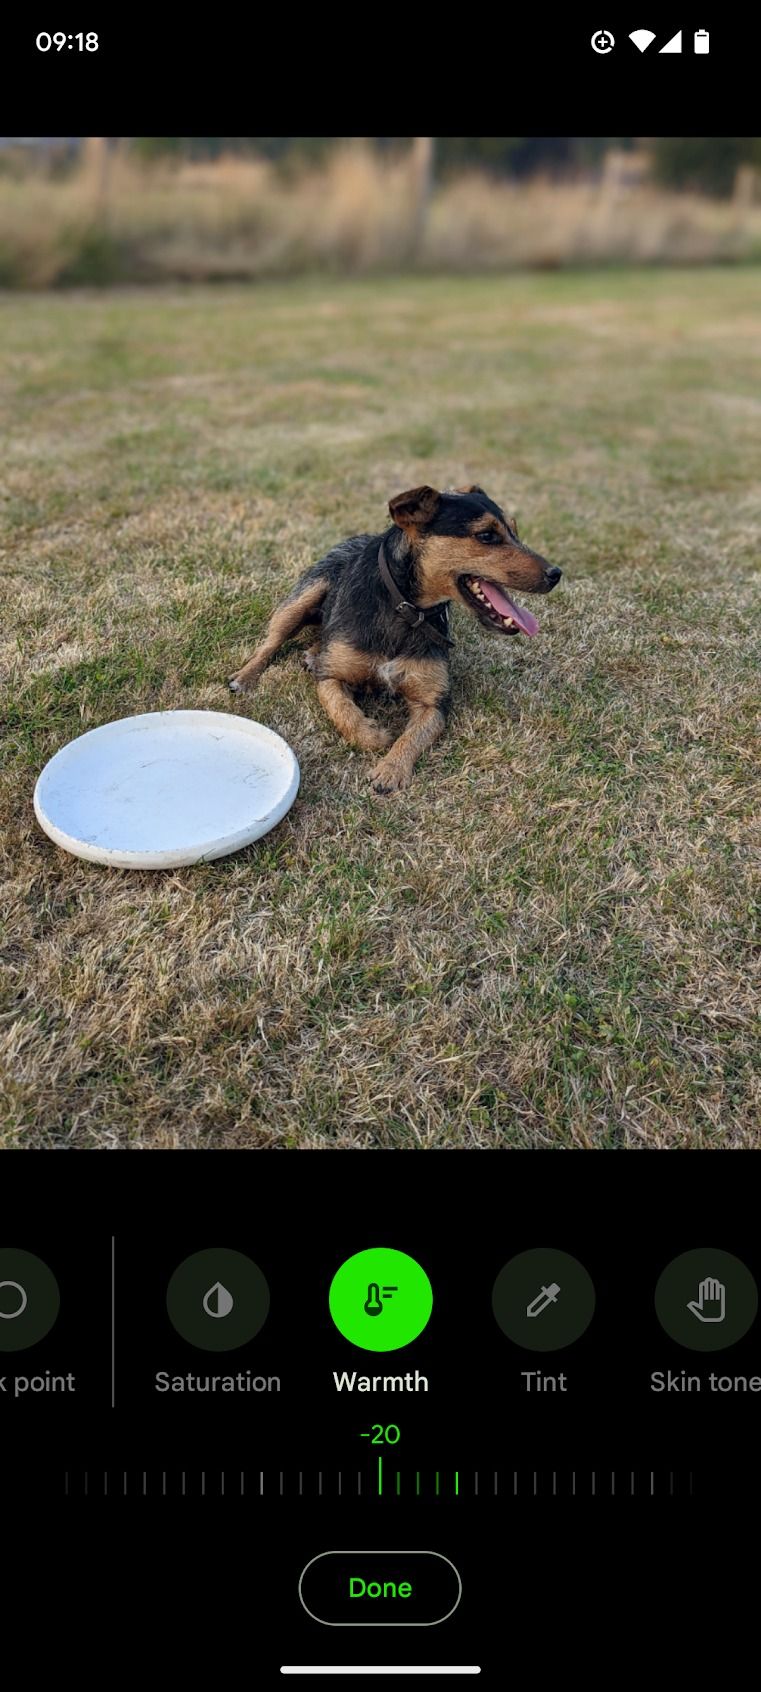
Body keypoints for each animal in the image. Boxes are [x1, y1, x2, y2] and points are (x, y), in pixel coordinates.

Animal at [228, 480, 561, 788]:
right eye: (487, 535)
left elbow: (412, 737)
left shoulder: (433, 703)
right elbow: (342, 710)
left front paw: (391, 769)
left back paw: (312, 652)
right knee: (271, 642)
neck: (405, 609)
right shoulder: (329, 679)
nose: (556, 574)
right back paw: (246, 676)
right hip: (304, 596)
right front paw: (373, 735)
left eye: (515, 531)